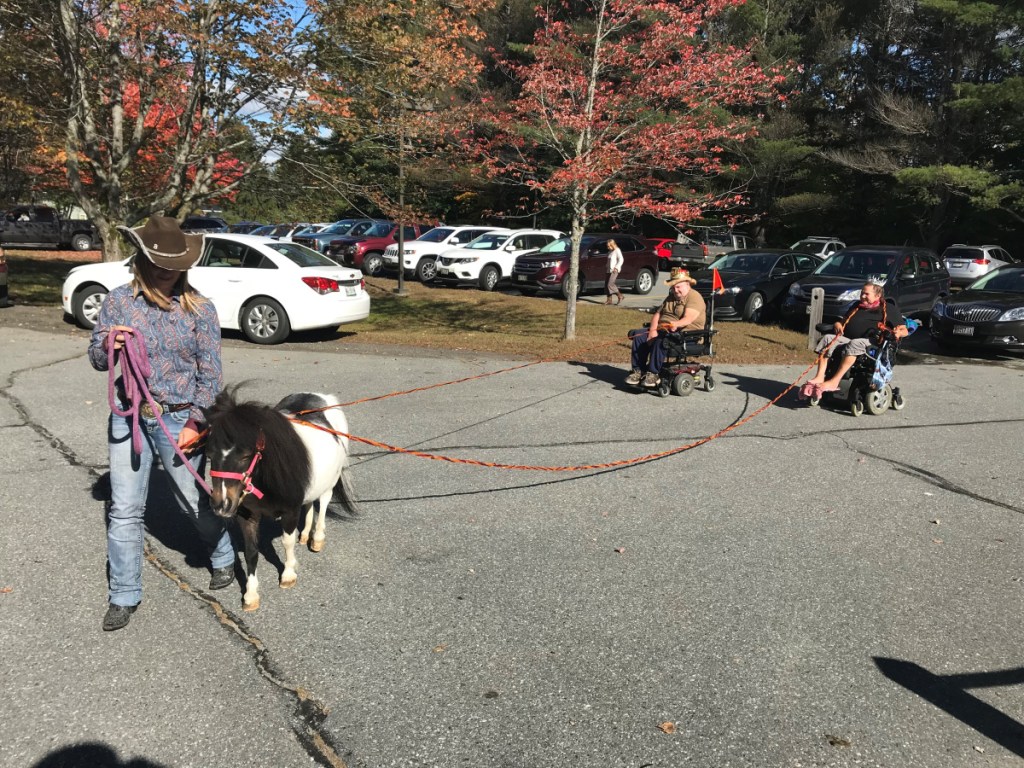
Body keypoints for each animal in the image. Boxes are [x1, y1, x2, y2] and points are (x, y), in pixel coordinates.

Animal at [201, 391, 358, 614]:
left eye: (245, 456)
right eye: (209, 454)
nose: (221, 505)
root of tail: (323, 397)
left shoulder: (290, 512)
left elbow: (286, 542)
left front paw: (288, 575)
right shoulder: (247, 516)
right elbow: (251, 552)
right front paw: (251, 595)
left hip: (330, 481)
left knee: (323, 502)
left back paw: (317, 538)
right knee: (309, 503)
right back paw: (305, 534)